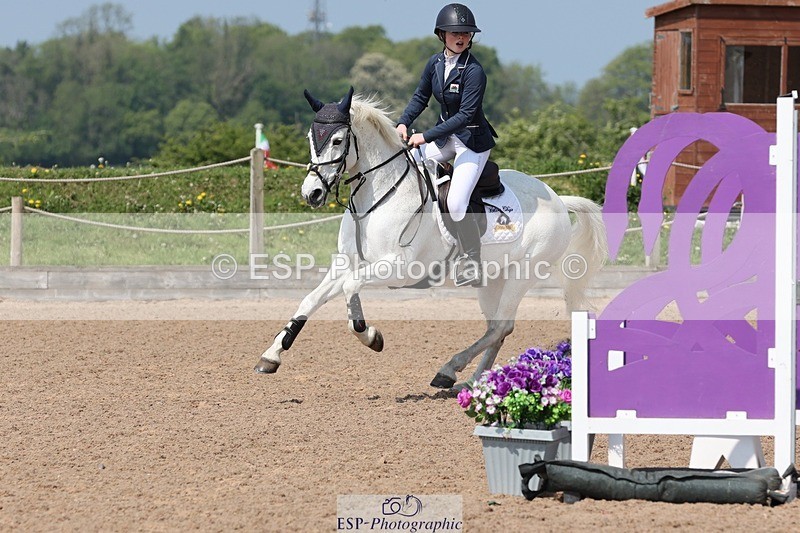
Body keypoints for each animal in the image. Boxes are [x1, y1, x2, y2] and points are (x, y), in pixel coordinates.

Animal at [254, 87, 608, 388]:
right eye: (310, 138)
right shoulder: (345, 264)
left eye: (339, 140)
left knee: (501, 326)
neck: (377, 196)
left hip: (522, 274)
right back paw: (472, 381)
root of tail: (558, 198)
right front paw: (271, 356)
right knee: (497, 328)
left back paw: (450, 371)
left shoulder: (398, 268)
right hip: (492, 279)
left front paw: (372, 337)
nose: (311, 193)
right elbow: (310, 300)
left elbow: (351, 289)